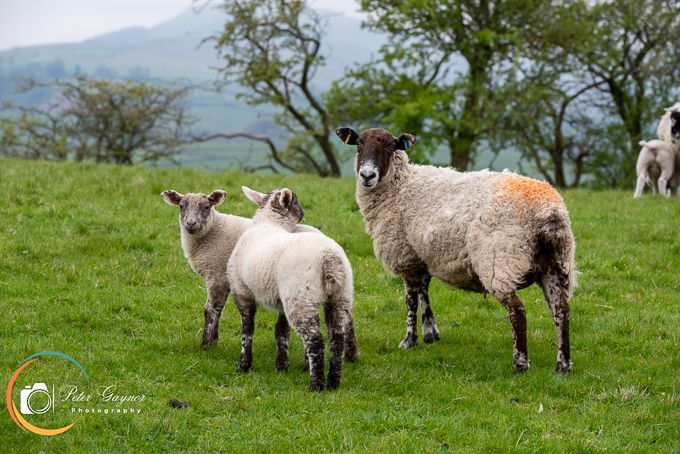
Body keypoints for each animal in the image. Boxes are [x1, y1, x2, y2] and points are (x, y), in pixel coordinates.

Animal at [160, 189, 322, 349]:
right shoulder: (225, 278)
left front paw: (206, 344)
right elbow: (219, 309)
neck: (213, 232)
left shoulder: (216, 275)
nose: (191, 223)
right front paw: (214, 341)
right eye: (181, 206)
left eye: (206, 207)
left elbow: (211, 309)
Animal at [226, 186, 359, 391]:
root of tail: (330, 260)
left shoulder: (241, 290)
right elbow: (281, 332)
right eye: (296, 202)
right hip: (339, 297)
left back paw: (316, 386)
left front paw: (244, 365)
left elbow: (247, 330)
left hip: (300, 297)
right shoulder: (280, 299)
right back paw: (333, 382)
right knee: (336, 338)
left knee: (316, 342)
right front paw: (281, 366)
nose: (303, 213)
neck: (267, 223)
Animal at [335, 127, 576, 373]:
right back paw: (563, 366)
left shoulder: (406, 254)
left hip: (499, 261)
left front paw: (409, 340)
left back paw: (520, 363)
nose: (367, 175)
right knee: (562, 311)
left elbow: (410, 299)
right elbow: (424, 290)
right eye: (359, 145)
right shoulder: (423, 254)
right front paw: (430, 332)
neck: (401, 186)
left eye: (391, 147)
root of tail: (549, 211)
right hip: (556, 263)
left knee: (518, 311)